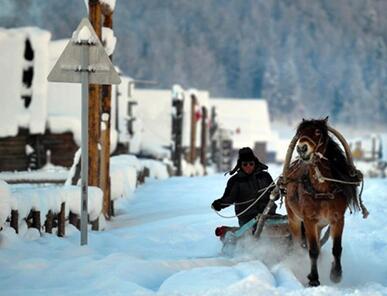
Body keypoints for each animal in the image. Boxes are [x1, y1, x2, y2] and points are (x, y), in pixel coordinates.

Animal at [282, 118, 366, 286]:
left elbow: (336, 248)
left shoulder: (338, 219)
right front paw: (314, 278)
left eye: (317, 131)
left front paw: (336, 273)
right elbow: (313, 250)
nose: (301, 148)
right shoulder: (309, 220)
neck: (322, 189)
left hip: (321, 225)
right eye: (300, 133)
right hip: (294, 219)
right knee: (298, 245)